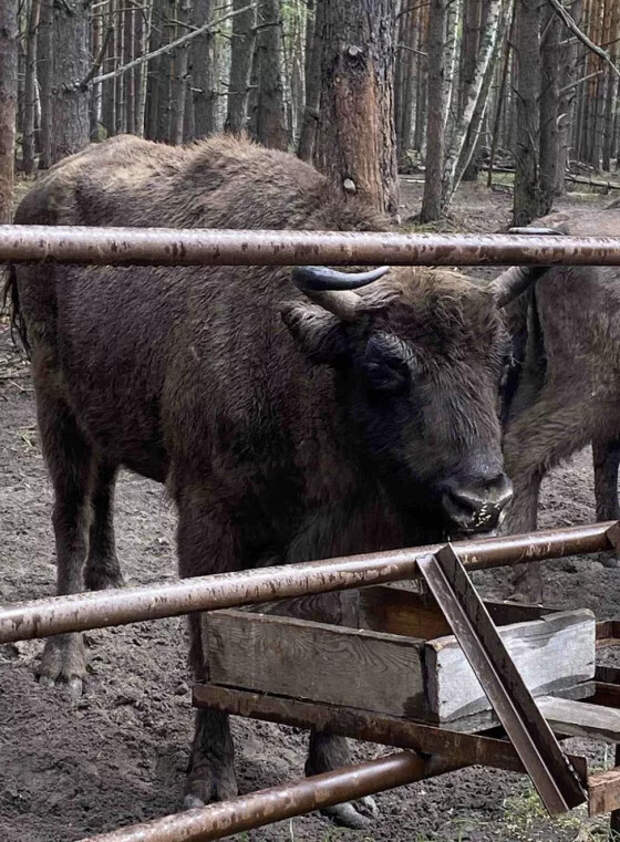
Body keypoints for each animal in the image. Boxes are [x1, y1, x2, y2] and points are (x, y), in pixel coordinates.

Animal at [7, 135, 532, 824]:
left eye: (504, 363)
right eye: (385, 366)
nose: (483, 503)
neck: (301, 365)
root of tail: (42, 188)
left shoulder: (343, 545)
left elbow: (335, 632)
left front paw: (339, 785)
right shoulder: (208, 524)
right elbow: (208, 649)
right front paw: (209, 784)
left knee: (104, 490)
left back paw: (111, 583)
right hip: (56, 403)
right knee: (71, 513)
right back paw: (64, 665)